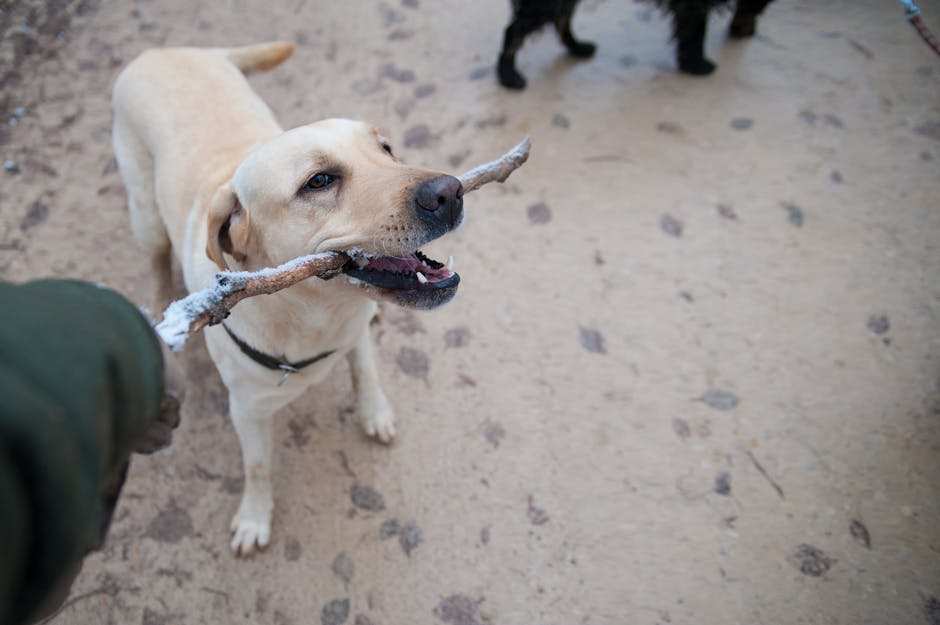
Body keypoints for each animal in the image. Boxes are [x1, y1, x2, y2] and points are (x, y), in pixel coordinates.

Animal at [112, 41, 460, 552]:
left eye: (386, 148)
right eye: (318, 181)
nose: (451, 192)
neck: (316, 315)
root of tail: (164, 50)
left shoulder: (354, 333)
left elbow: (365, 371)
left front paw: (374, 411)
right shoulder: (247, 412)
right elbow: (258, 468)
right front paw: (255, 517)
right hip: (144, 214)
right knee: (156, 258)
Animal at [496, 0, 776, 89]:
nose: (746, 32)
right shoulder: (693, 4)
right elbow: (696, 30)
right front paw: (697, 64)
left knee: (561, 19)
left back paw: (578, 47)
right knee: (514, 30)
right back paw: (508, 74)